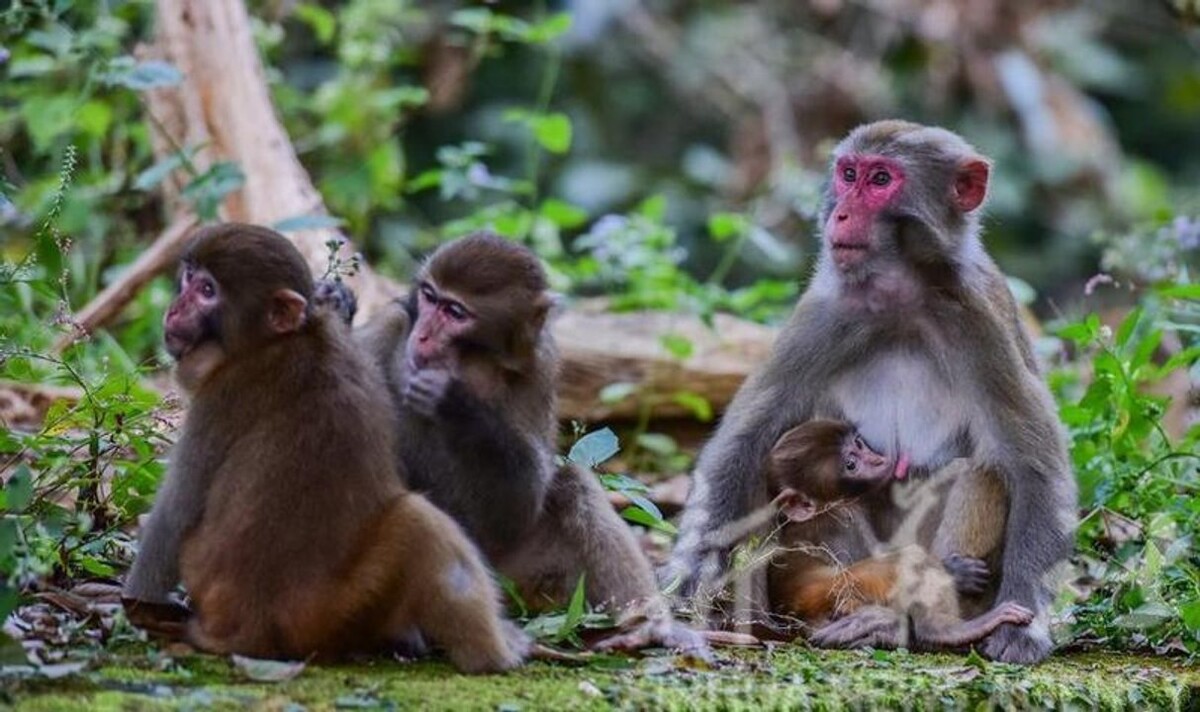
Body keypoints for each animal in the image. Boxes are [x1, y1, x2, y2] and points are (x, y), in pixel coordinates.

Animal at [121, 223, 527, 671]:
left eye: (207, 290)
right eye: (189, 278)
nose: (175, 310)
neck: (285, 340)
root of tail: (250, 632)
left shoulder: (220, 396)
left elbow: (174, 518)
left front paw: (136, 604)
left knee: (418, 519)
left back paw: (493, 657)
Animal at [339, 233, 704, 652]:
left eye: (455, 312)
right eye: (429, 296)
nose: (424, 335)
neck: (473, 360)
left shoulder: (539, 365)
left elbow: (520, 507)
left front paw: (456, 401)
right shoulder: (394, 322)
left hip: (520, 581)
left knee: (573, 485)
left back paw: (648, 626)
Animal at [763, 419, 1032, 650]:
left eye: (859, 444)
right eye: (851, 465)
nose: (877, 460)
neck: (821, 511)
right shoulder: (844, 519)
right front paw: (957, 572)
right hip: (842, 592)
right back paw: (942, 630)